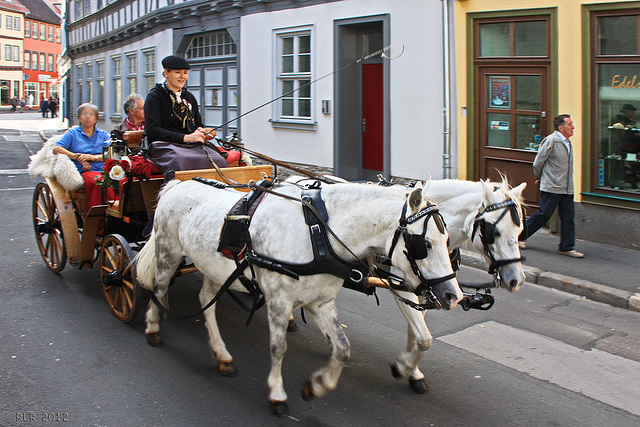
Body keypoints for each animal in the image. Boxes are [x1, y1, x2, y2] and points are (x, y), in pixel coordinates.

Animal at [136, 180, 464, 418]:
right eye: (424, 244)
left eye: (448, 240)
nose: (454, 296)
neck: (318, 235)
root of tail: (176, 184)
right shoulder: (279, 301)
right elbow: (278, 348)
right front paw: (277, 394)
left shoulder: (320, 302)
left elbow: (343, 349)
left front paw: (317, 385)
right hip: (168, 253)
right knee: (159, 288)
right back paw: (152, 327)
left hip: (213, 267)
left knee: (207, 299)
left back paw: (222, 354)